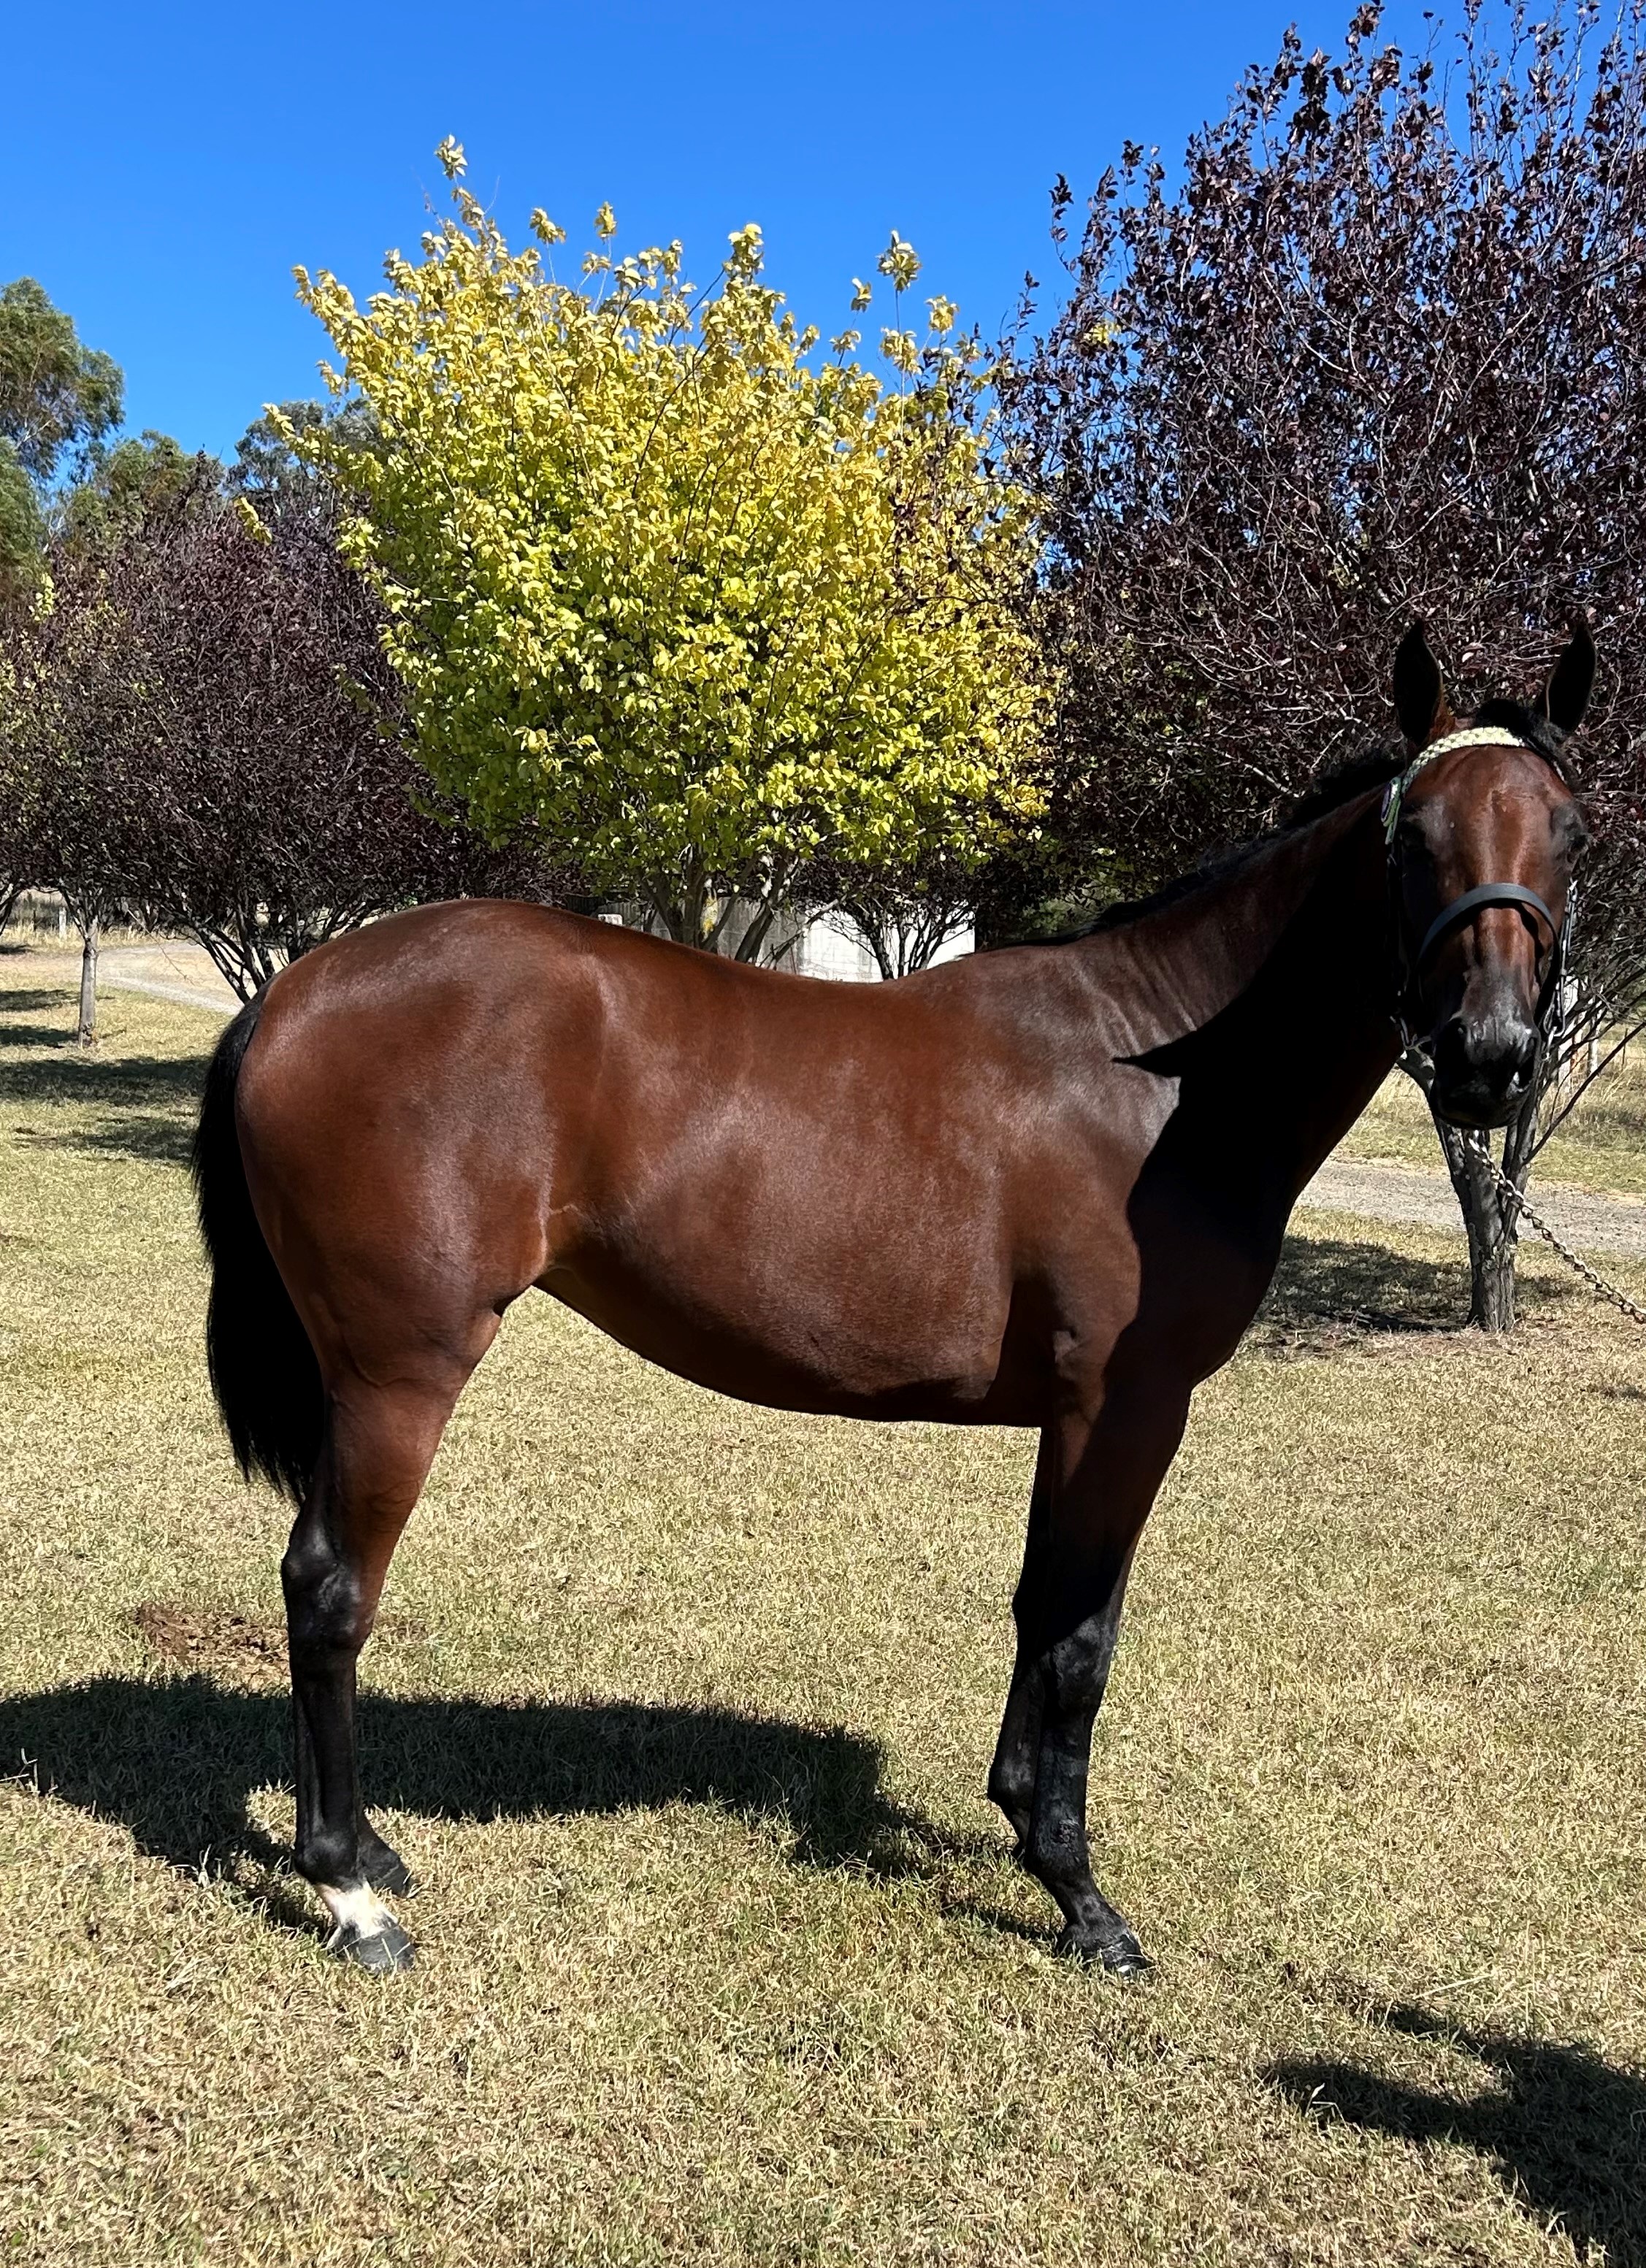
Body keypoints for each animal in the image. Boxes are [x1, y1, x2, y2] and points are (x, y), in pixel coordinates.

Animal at [192, 623, 1593, 1974]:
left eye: (1570, 830)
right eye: (1411, 836)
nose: (1487, 1058)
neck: (1160, 1080)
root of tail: (300, 986)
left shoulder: (1074, 1419)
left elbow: (1039, 1610)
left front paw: (1023, 1824)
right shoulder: (1128, 1407)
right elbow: (1080, 1638)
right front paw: (1082, 1902)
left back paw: (372, 1848)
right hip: (397, 1373)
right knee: (328, 1590)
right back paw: (348, 1893)